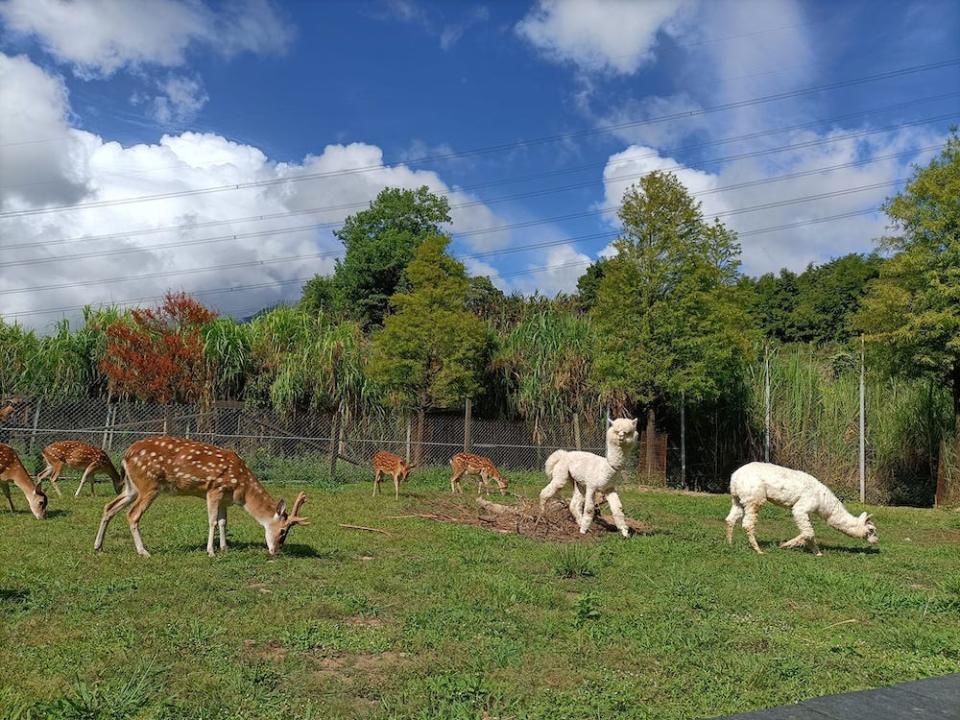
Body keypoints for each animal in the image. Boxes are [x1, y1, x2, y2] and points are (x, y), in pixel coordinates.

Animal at [94, 436, 308, 560]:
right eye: (283, 531)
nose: (276, 551)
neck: (243, 491)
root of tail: (126, 455)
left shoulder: (225, 499)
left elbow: (223, 522)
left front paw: (225, 548)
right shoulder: (214, 489)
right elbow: (212, 521)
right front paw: (211, 551)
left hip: (132, 487)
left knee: (109, 506)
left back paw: (98, 547)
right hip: (149, 485)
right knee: (132, 514)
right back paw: (144, 552)